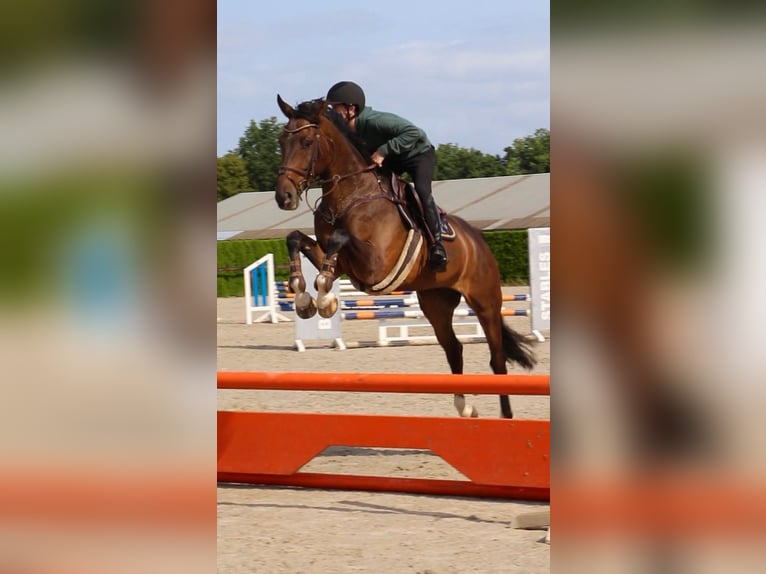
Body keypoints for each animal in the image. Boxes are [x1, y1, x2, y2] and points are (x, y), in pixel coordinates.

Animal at [274, 95, 536, 418]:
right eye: (281, 141)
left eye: (308, 142)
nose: (283, 197)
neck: (349, 194)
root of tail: (479, 241)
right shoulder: (338, 260)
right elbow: (296, 239)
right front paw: (302, 296)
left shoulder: (375, 265)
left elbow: (340, 239)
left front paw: (324, 300)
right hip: (437, 304)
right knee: (454, 349)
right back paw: (465, 407)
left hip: (485, 302)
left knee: (497, 359)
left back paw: (506, 417)